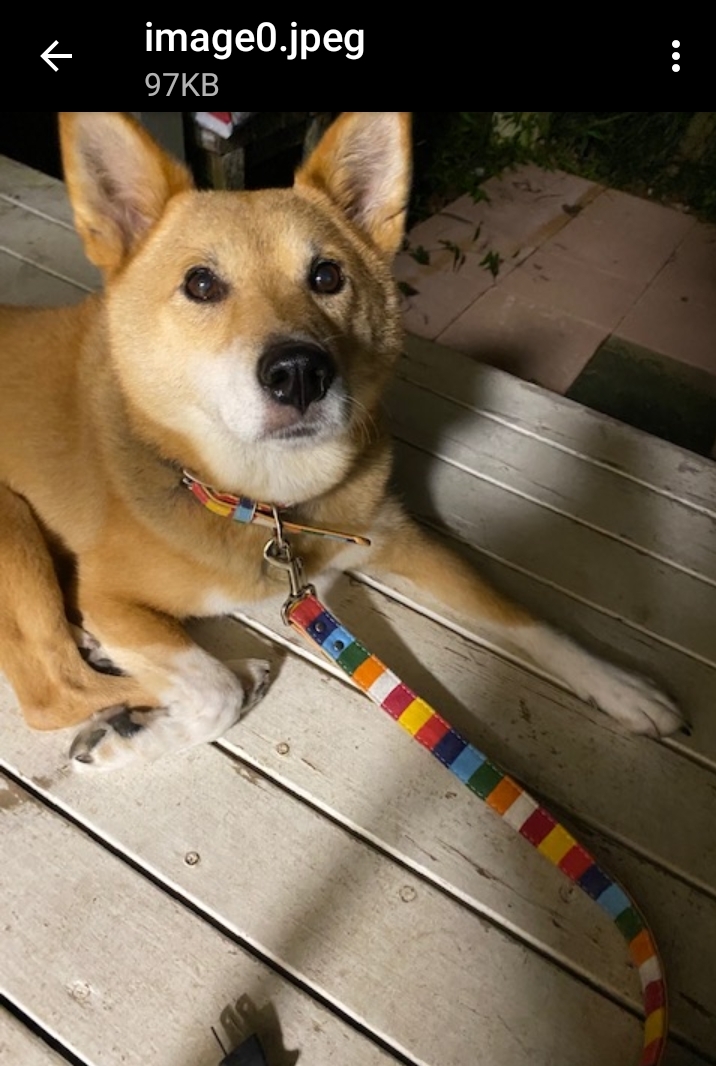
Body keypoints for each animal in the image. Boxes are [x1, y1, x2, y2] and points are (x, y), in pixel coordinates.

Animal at [0, 111, 686, 771]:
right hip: (16, 530)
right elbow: (211, 692)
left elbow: (524, 618)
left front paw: (617, 685)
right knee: (53, 692)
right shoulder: (107, 592)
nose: (300, 371)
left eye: (327, 275)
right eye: (200, 284)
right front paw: (132, 737)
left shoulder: (398, 536)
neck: (266, 500)